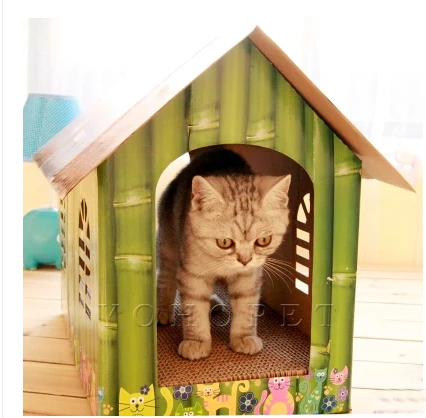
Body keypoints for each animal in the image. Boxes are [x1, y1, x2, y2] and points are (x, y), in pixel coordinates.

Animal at [157, 148, 291, 360]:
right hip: (169, 244)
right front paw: (196, 341)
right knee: (166, 277)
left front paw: (244, 337)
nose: (244, 260)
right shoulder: (192, 273)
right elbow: (194, 308)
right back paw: (162, 310)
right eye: (225, 242)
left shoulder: (248, 276)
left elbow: (246, 307)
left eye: (263, 240)